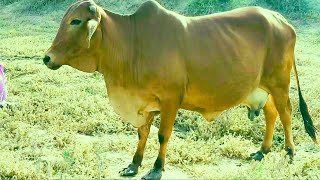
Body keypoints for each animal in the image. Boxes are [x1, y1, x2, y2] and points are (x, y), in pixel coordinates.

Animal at [43, 0, 318, 179]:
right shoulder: (145, 102)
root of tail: (280, 20)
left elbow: (162, 135)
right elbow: (142, 134)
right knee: (272, 114)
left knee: (286, 114)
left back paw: (290, 152)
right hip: (263, 87)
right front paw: (133, 165)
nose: (47, 58)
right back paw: (262, 151)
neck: (131, 43)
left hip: (279, 83)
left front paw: (156, 169)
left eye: (76, 21)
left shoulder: (170, 100)